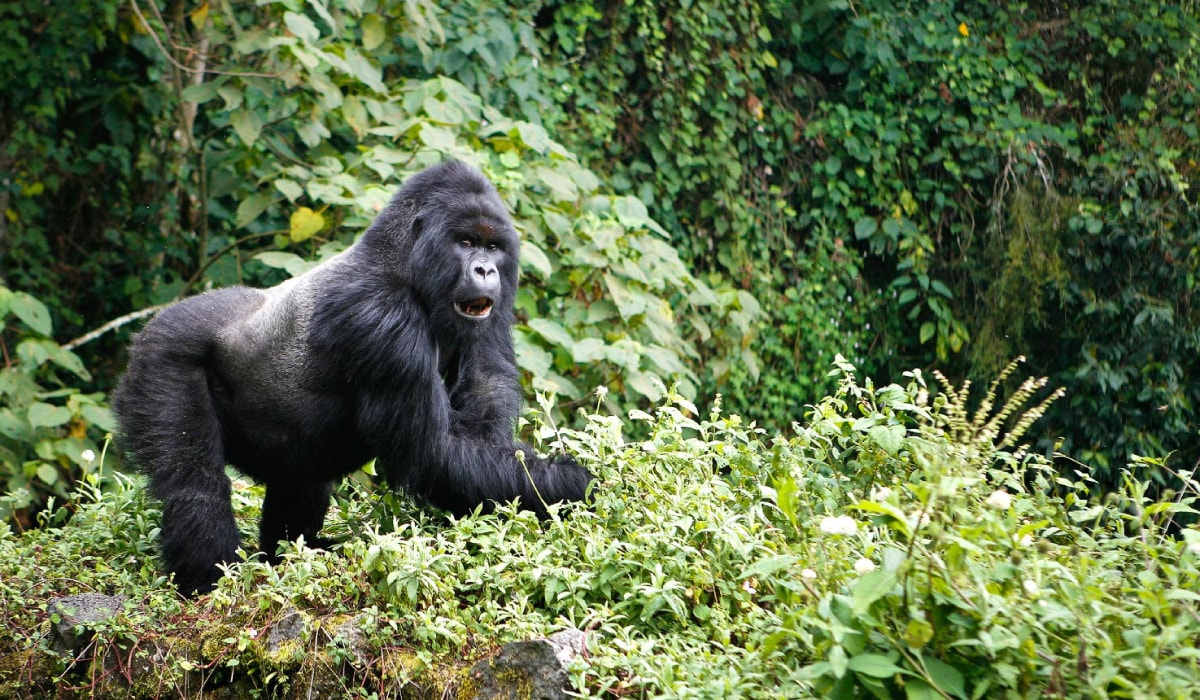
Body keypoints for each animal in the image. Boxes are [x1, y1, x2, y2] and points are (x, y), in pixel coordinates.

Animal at [114, 162, 592, 595]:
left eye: (493, 247)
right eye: (465, 242)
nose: (486, 271)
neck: (402, 260)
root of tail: (154, 325)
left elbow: (482, 411)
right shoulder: (379, 314)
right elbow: (431, 452)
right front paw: (570, 484)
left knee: (300, 480)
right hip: (162, 356)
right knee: (195, 482)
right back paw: (209, 579)